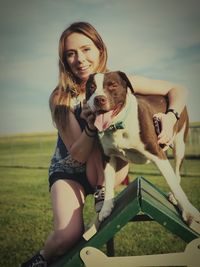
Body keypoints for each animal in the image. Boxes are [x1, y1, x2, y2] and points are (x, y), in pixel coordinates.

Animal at [85, 70, 200, 224]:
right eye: (91, 87)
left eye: (112, 85)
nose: (99, 99)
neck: (118, 124)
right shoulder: (107, 157)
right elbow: (108, 183)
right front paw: (106, 208)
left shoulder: (157, 154)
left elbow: (173, 184)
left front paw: (189, 212)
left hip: (179, 144)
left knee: (177, 171)